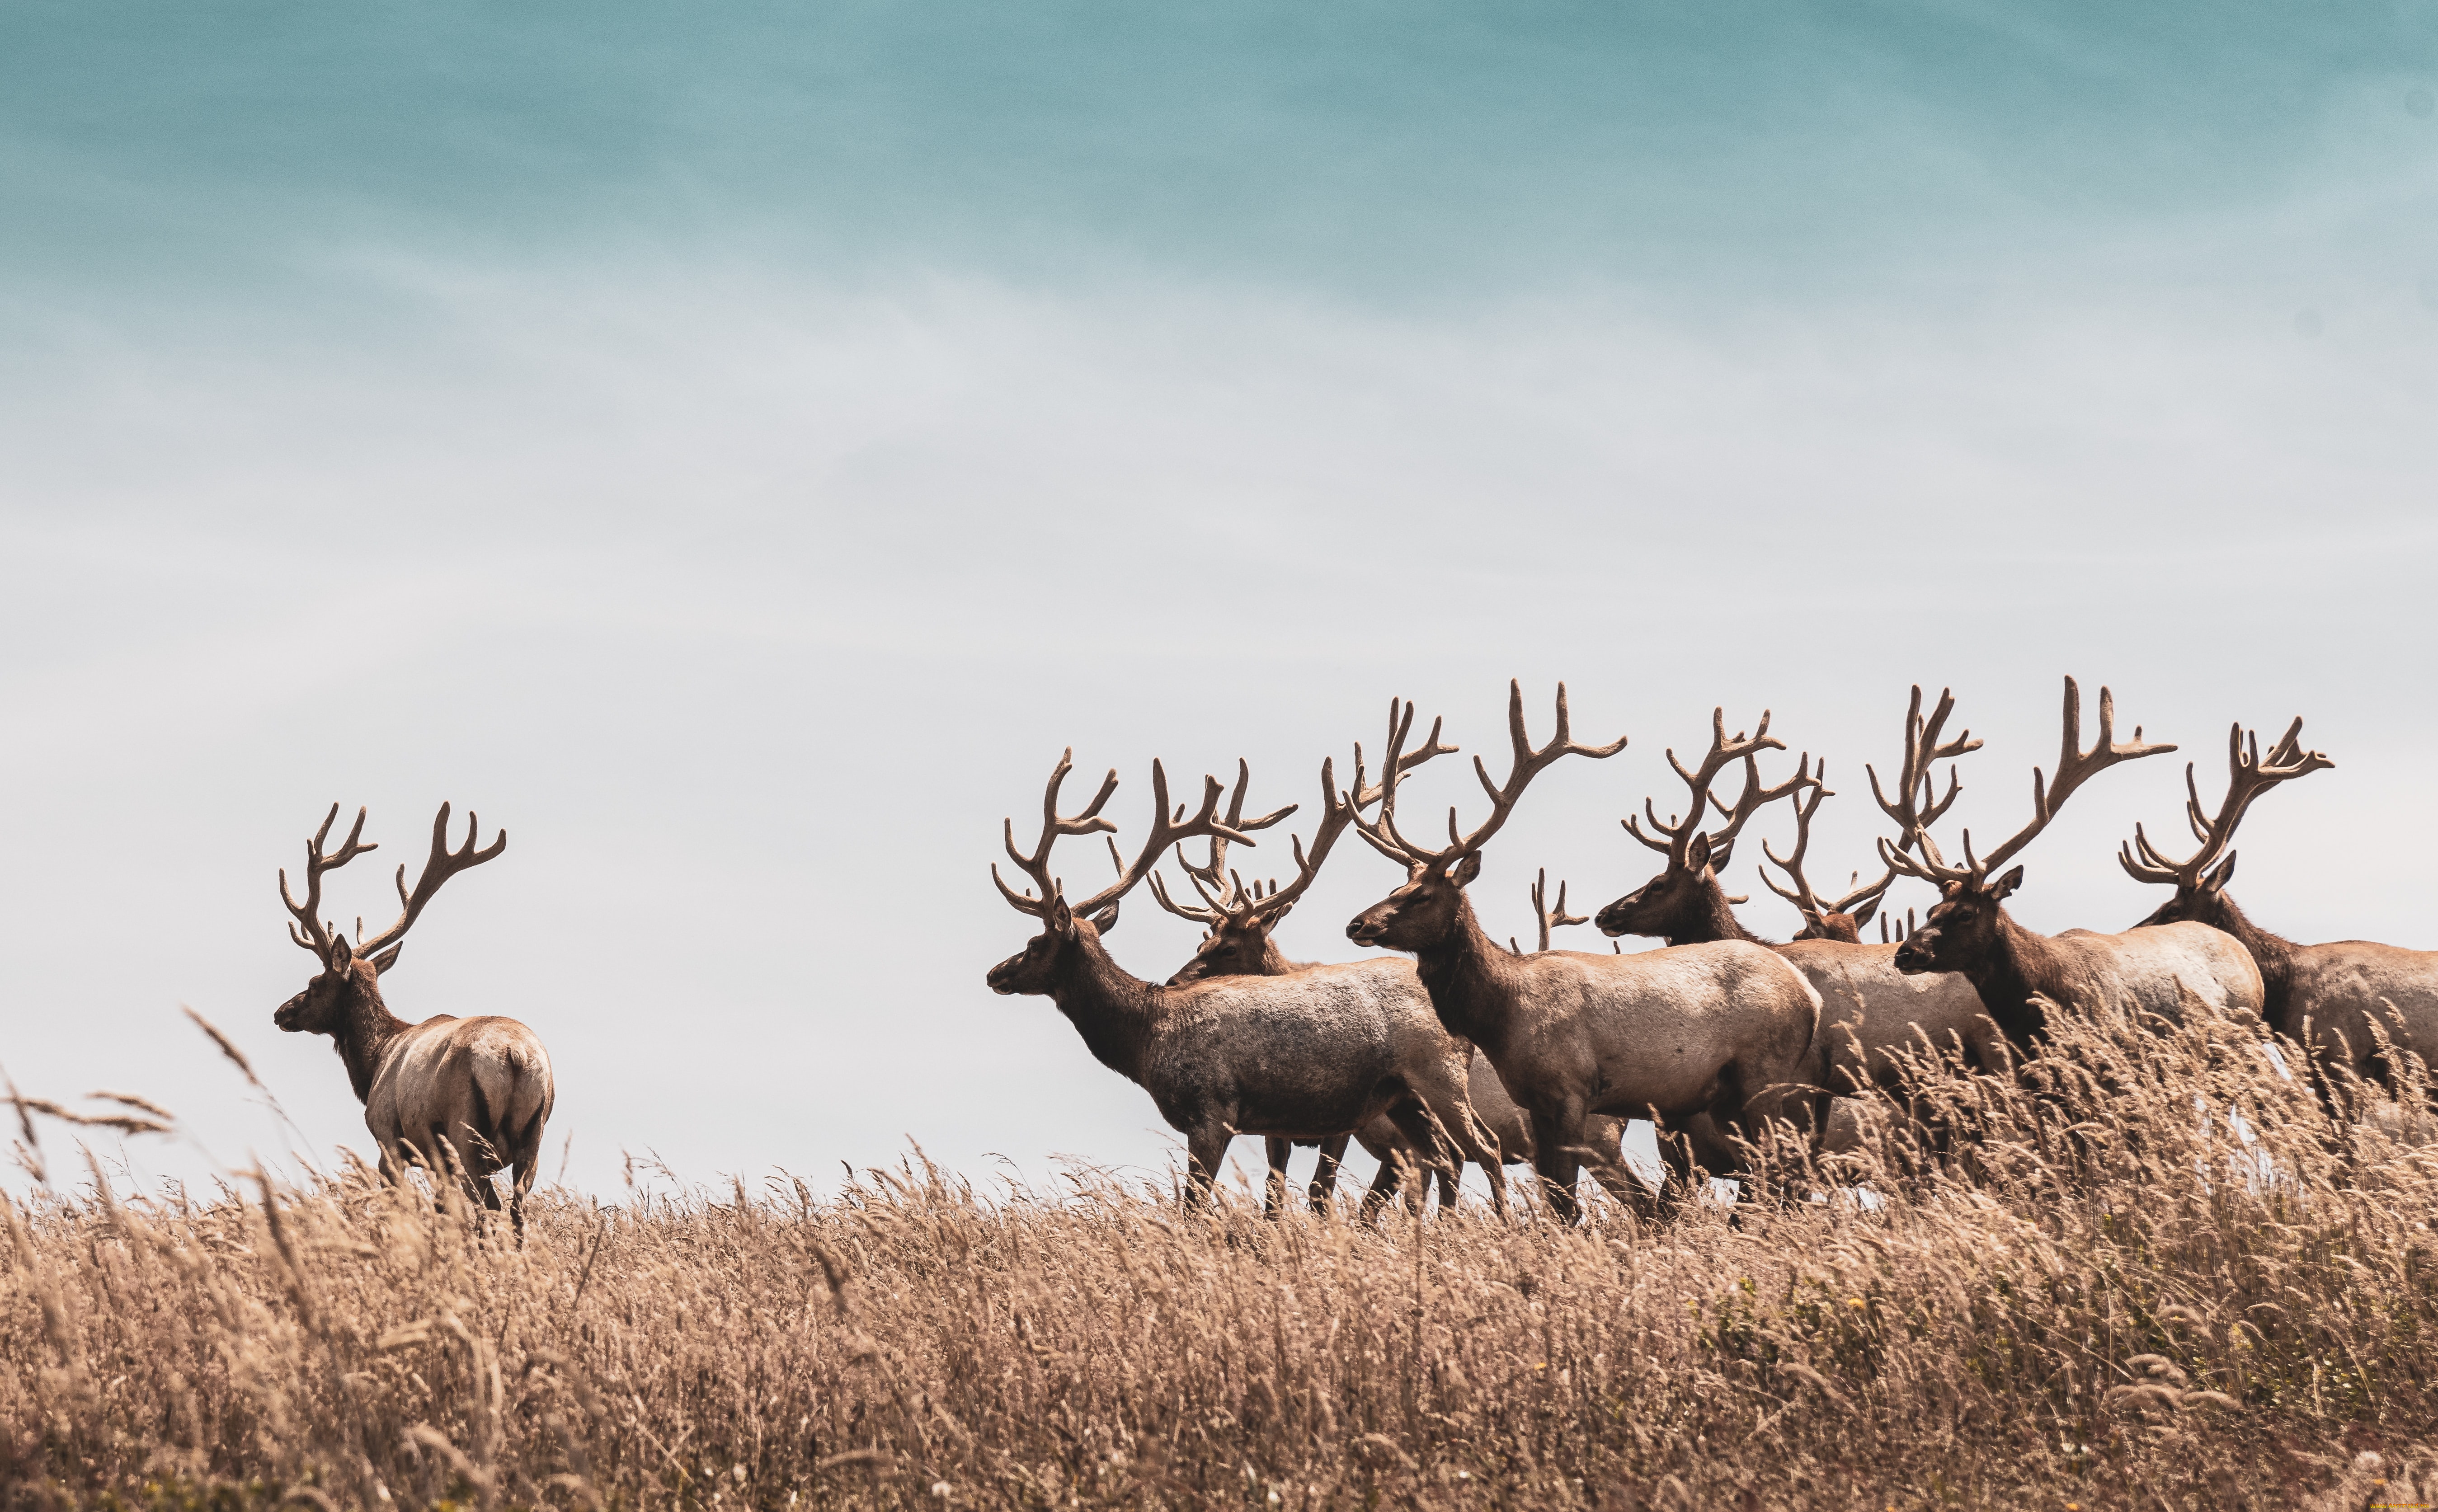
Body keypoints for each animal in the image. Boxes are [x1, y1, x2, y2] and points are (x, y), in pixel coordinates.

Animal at [274, 804, 555, 1239]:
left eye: (314, 983)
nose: (281, 1013)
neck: (374, 1062)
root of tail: (516, 1056)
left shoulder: (388, 1135)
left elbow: (396, 1205)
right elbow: (441, 1210)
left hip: (464, 1131)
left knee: (486, 1207)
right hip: (534, 1135)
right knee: (517, 1208)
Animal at [1336, 678, 1833, 1224]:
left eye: (1422, 895)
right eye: (1396, 885)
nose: (1357, 923)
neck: (1502, 1015)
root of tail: (1810, 997)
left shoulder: (1571, 1089)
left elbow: (1564, 1203)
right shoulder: (1536, 1101)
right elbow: (1558, 1197)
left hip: (1766, 1072)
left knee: (1779, 1167)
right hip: (1727, 1094)